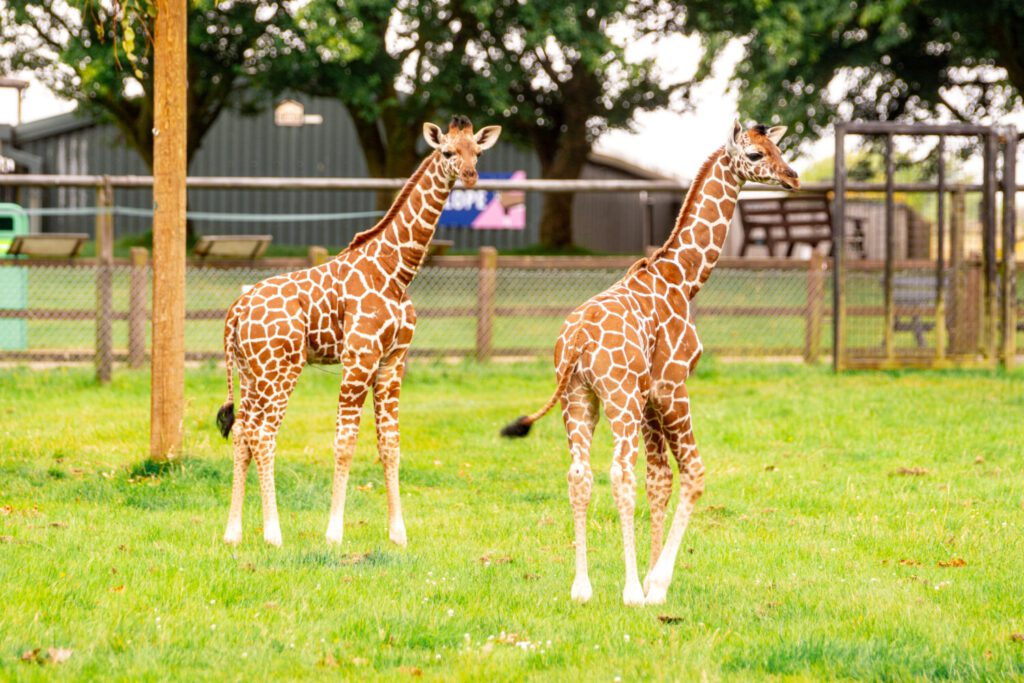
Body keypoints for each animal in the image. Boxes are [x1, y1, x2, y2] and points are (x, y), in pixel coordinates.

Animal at [218, 115, 501, 547]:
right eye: (447, 151)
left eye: (478, 152)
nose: (470, 176)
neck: (396, 272)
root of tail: (236, 310)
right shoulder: (359, 358)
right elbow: (345, 443)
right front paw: (334, 532)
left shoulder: (392, 361)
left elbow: (390, 443)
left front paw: (398, 533)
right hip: (280, 369)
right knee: (263, 435)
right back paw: (273, 534)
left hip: (252, 373)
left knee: (243, 433)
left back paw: (233, 532)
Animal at [501, 120, 799, 606]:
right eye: (755, 155)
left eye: (779, 147)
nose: (793, 176)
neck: (684, 277)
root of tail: (577, 339)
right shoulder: (671, 386)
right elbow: (692, 474)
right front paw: (655, 583)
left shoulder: (647, 399)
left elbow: (659, 479)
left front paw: (650, 573)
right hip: (617, 398)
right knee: (619, 473)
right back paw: (630, 592)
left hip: (578, 399)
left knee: (580, 473)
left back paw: (582, 588)